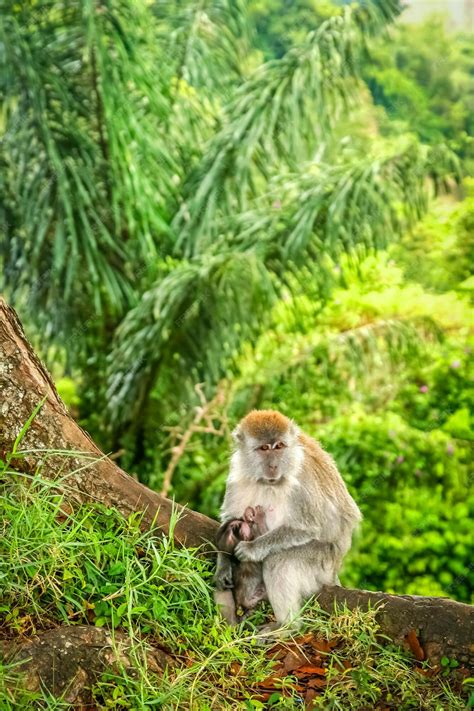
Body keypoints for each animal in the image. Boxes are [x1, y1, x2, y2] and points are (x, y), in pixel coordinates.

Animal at [214, 409, 362, 628]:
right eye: (264, 448)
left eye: (279, 446)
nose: (274, 465)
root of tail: (336, 567)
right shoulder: (237, 473)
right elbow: (229, 517)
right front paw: (223, 563)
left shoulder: (302, 482)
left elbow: (306, 529)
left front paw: (252, 548)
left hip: (323, 563)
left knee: (279, 560)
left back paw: (288, 627)